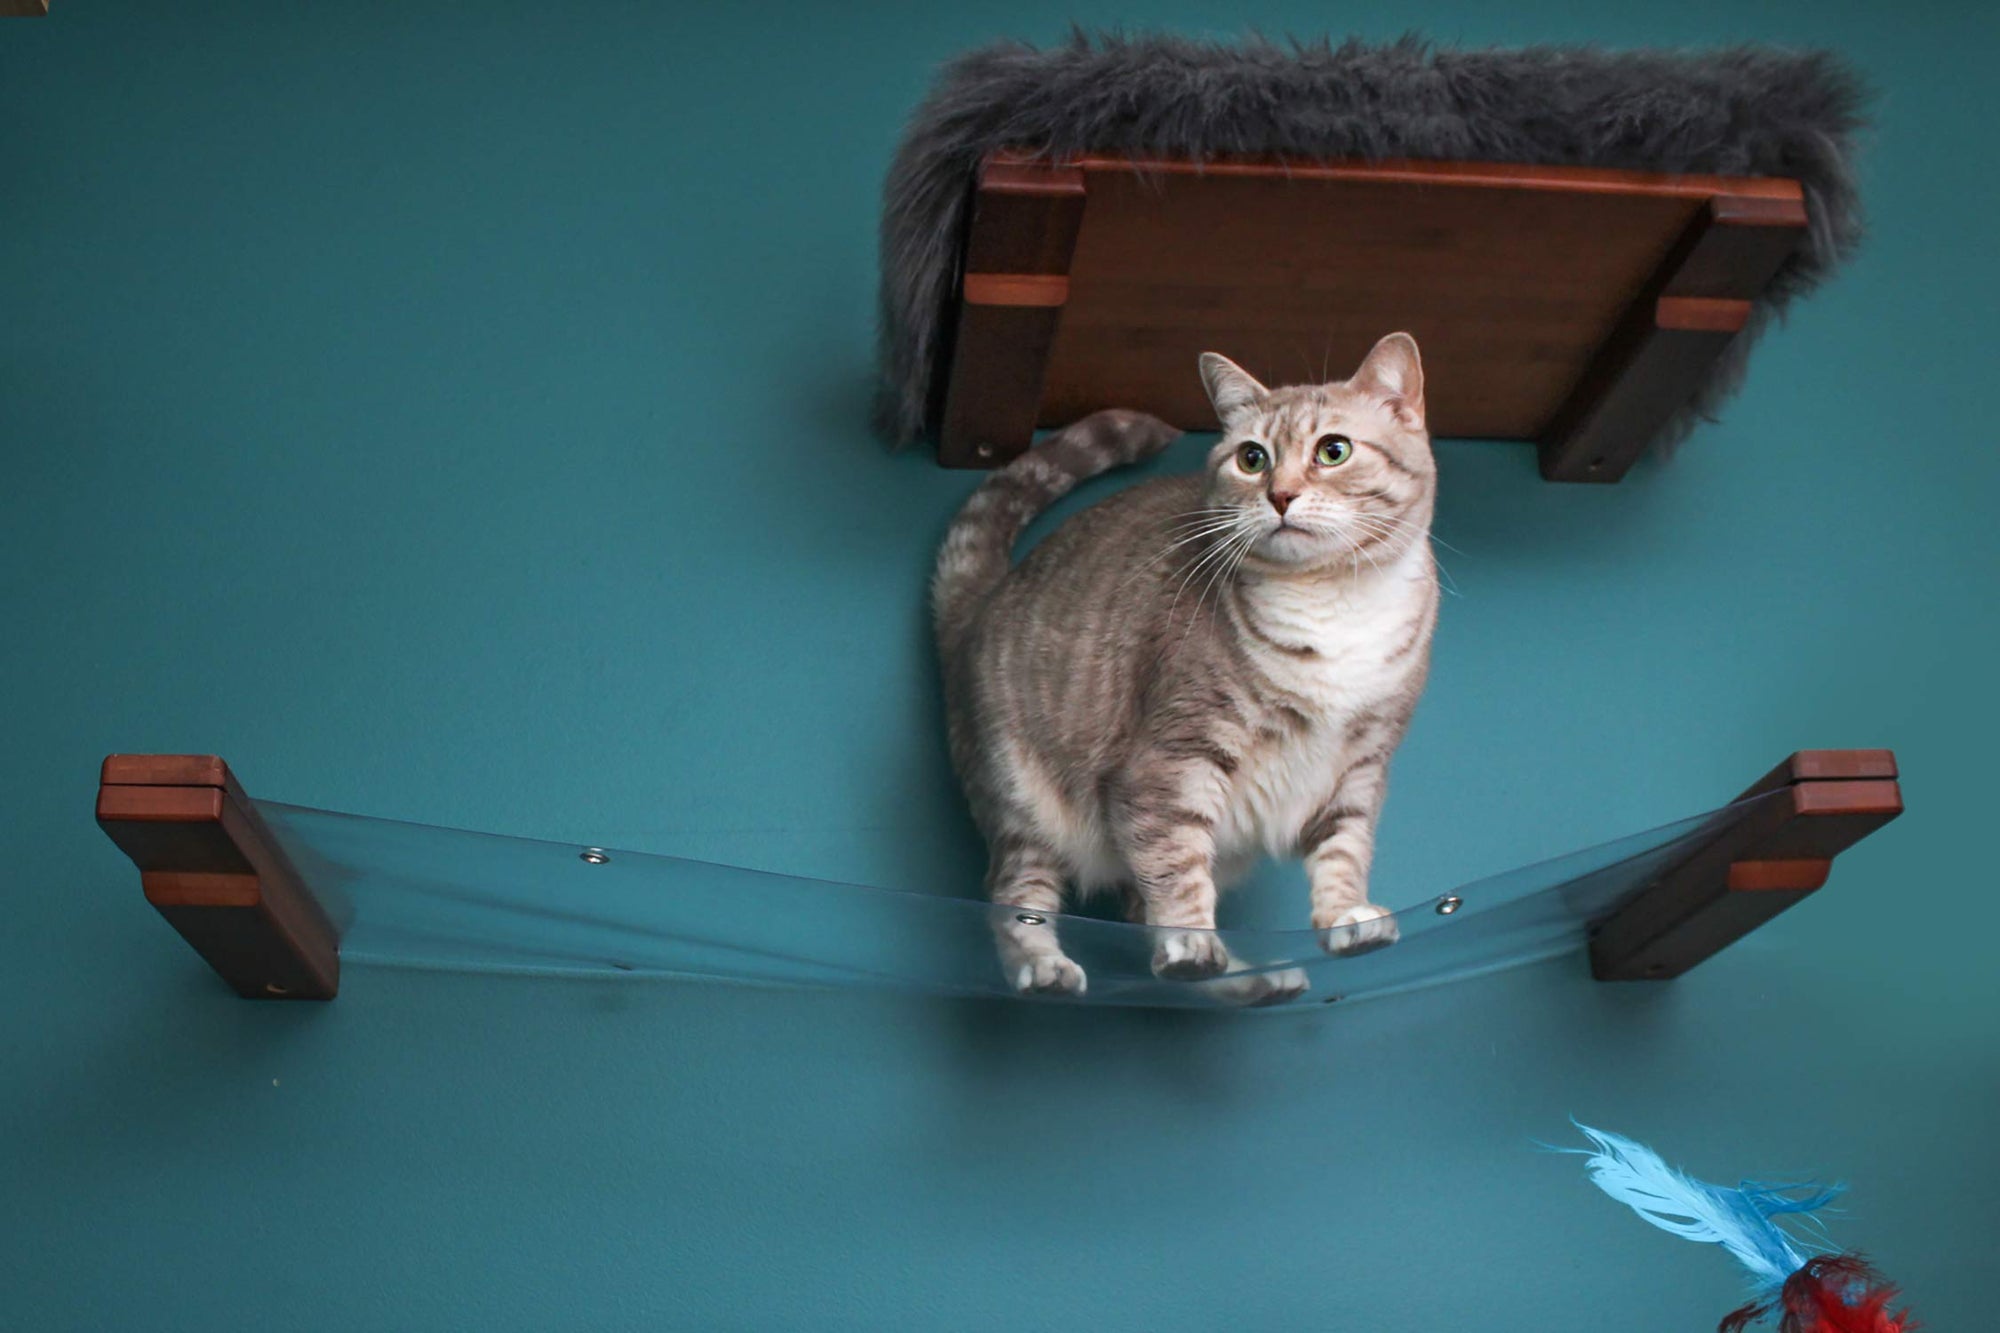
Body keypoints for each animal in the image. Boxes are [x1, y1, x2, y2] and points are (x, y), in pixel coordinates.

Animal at [936, 332, 1440, 996]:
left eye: (1334, 451)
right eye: (1251, 458)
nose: (1280, 495)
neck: (1332, 607)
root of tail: (986, 598)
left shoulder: (1361, 762)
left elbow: (1344, 846)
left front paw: (1345, 916)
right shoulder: (1172, 758)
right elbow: (1174, 867)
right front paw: (1189, 944)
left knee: (1131, 908)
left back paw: (1256, 982)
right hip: (1025, 803)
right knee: (1015, 894)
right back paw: (1043, 966)